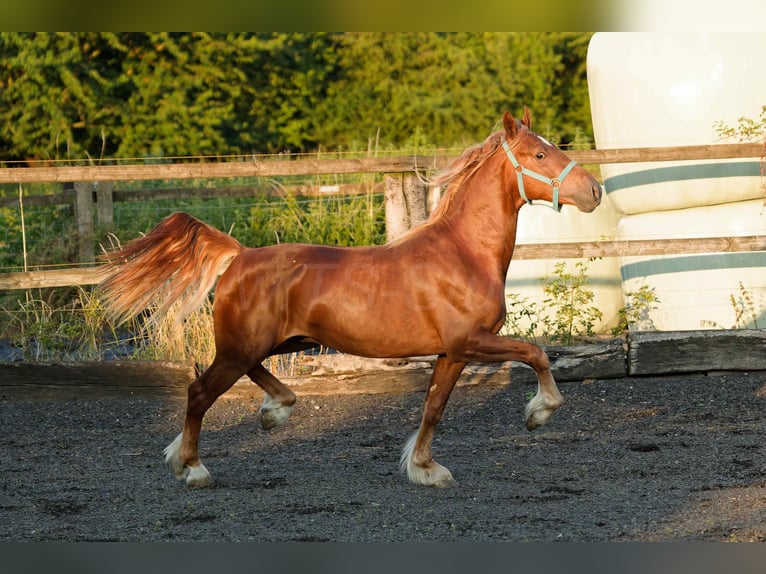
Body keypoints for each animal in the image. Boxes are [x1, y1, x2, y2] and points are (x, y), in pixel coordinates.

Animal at [99, 108, 602, 488]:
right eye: (540, 152)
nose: (594, 191)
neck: (462, 252)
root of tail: (240, 255)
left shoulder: (450, 352)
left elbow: (433, 407)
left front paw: (424, 468)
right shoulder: (469, 342)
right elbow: (535, 354)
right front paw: (538, 414)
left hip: (272, 343)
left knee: (250, 375)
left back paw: (274, 412)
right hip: (242, 346)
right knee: (199, 392)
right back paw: (192, 467)